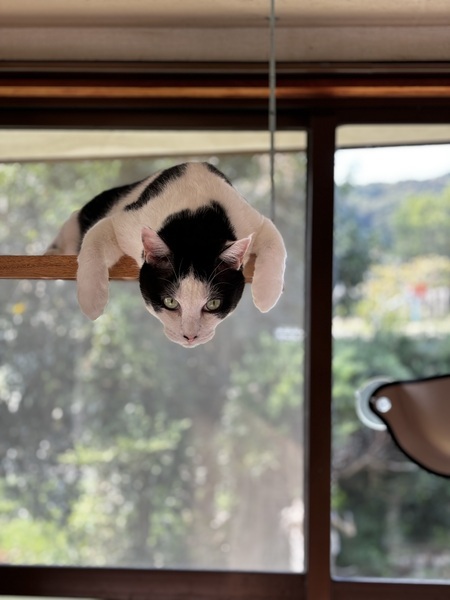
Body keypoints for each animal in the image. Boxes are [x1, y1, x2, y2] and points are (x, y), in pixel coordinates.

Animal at [46, 162, 286, 348]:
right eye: (170, 302)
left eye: (213, 305)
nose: (190, 336)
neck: (196, 223)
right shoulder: (122, 222)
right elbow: (93, 244)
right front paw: (91, 303)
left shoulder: (254, 221)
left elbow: (277, 244)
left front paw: (266, 297)